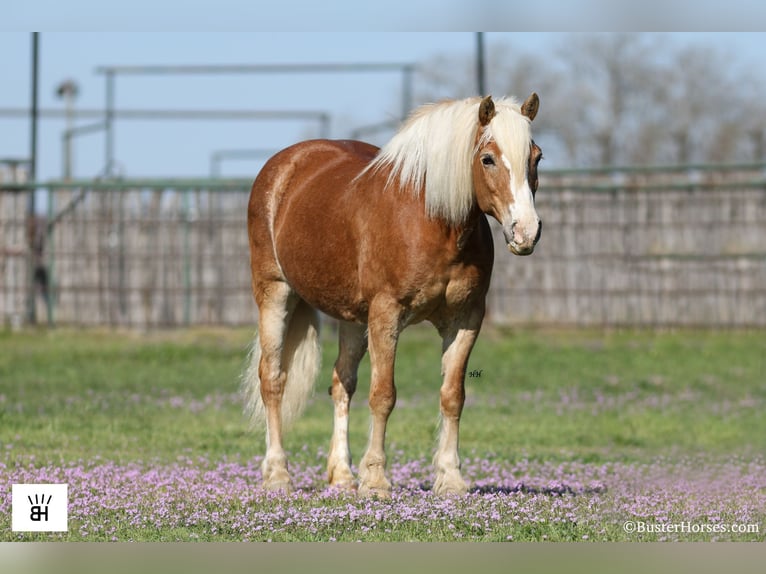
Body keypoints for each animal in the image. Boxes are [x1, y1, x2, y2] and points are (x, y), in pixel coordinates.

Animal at [243, 92, 544, 498]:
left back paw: (342, 476)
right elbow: (383, 395)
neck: (431, 220)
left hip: (353, 317)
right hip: (275, 294)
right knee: (273, 379)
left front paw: (450, 478)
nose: (526, 232)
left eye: (536, 157)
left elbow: (452, 395)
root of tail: (284, 165)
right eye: (488, 158)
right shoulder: (387, 315)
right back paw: (277, 474)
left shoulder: (465, 320)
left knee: (342, 384)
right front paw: (375, 480)